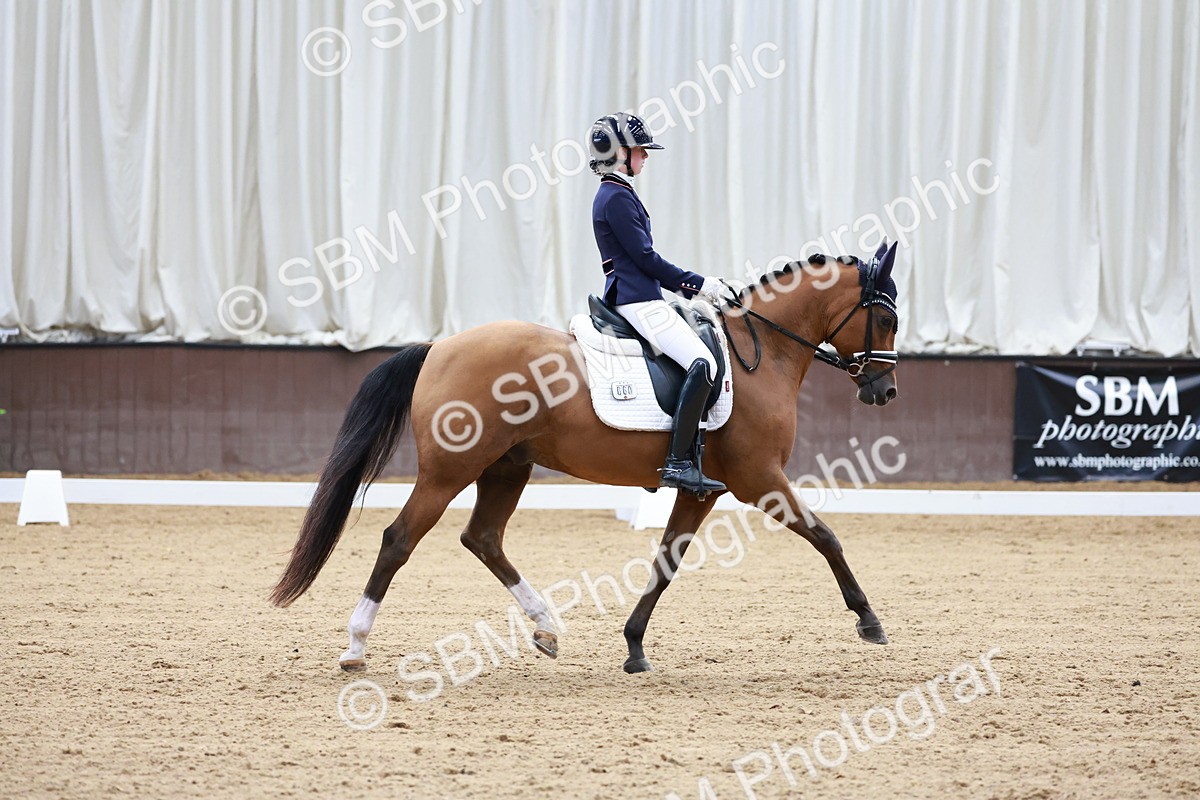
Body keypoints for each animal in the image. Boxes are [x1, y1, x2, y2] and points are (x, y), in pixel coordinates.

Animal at [270, 241, 901, 674]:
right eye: (887, 317)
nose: (885, 391)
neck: (761, 354)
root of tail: (440, 346)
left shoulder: (702, 489)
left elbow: (666, 561)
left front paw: (634, 647)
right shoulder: (760, 478)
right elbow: (826, 537)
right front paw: (870, 621)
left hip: (508, 466)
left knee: (483, 538)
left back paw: (546, 629)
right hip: (451, 470)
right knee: (399, 539)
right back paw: (356, 646)